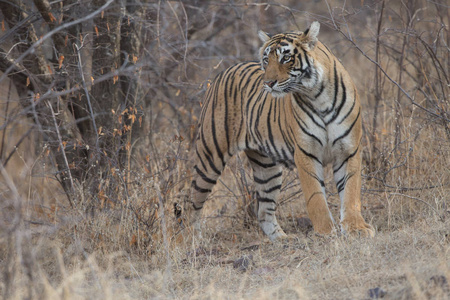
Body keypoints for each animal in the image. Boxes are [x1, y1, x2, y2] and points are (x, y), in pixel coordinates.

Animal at [181, 21, 374, 241]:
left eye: (286, 58)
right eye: (266, 60)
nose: (268, 83)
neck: (318, 95)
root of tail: (224, 71)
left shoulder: (348, 149)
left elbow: (351, 193)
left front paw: (356, 228)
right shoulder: (306, 153)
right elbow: (315, 197)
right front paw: (326, 232)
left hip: (267, 168)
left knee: (263, 210)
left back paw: (283, 240)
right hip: (210, 157)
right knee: (191, 204)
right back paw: (187, 240)